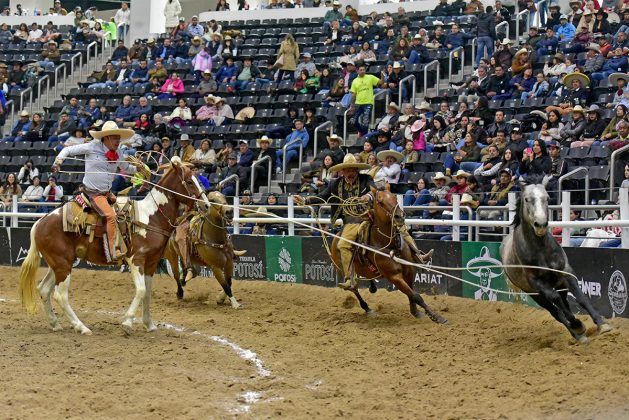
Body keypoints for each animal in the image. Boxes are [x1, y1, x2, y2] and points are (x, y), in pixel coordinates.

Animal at [18, 157, 205, 334]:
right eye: (189, 181)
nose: (205, 204)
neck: (150, 217)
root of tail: (40, 222)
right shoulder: (136, 260)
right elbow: (141, 290)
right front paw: (128, 323)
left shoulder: (151, 263)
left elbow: (147, 293)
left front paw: (149, 324)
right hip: (62, 265)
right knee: (60, 295)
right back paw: (81, 327)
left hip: (59, 263)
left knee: (44, 290)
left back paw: (55, 324)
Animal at [334, 186, 446, 322]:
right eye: (380, 202)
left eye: (395, 197)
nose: (399, 216)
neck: (390, 245)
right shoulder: (394, 277)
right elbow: (416, 295)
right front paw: (436, 317)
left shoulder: (409, 272)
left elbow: (412, 294)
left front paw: (416, 312)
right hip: (342, 268)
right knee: (354, 287)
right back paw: (367, 308)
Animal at [498, 176, 612, 342]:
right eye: (527, 199)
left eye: (547, 198)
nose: (540, 224)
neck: (540, 249)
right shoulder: (538, 284)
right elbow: (556, 300)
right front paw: (577, 325)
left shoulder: (566, 272)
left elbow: (580, 298)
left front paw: (602, 325)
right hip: (536, 295)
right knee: (556, 311)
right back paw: (577, 332)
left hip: (558, 284)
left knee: (564, 303)